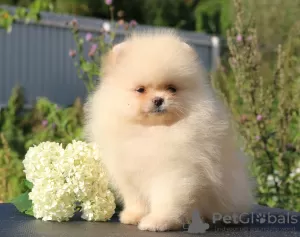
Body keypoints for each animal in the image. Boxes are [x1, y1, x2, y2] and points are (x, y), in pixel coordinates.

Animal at [84, 29, 253, 231]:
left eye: (172, 88)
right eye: (140, 90)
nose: (159, 99)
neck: (153, 130)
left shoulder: (173, 172)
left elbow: (167, 200)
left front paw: (158, 222)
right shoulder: (130, 174)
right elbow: (136, 199)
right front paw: (134, 215)